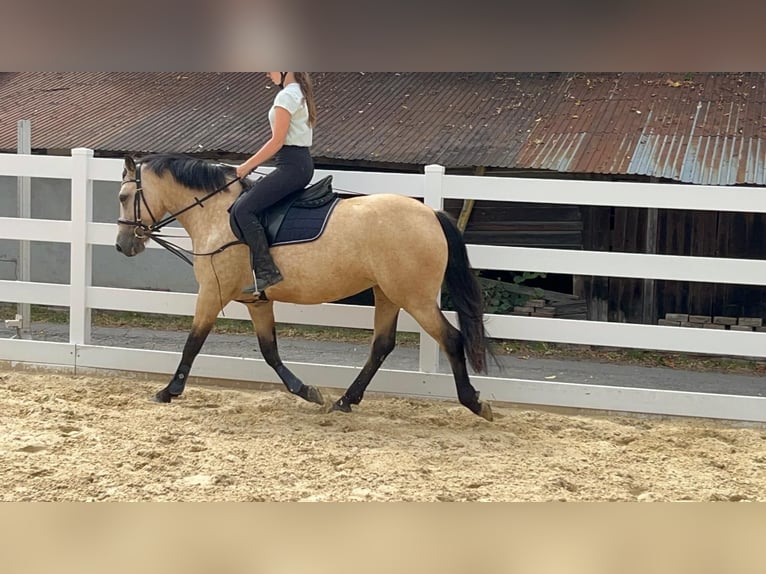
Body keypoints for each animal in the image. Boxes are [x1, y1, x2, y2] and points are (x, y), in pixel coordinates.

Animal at [115, 153, 494, 421]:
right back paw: (344, 401)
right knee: (382, 345)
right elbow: (269, 351)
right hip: (387, 294)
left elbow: (192, 343)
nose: (122, 245)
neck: (217, 214)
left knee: (450, 338)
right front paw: (307, 391)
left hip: (414, 297)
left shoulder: (212, 292)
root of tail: (431, 214)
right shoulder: (257, 301)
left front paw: (169, 390)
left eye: (122, 196)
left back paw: (474, 402)